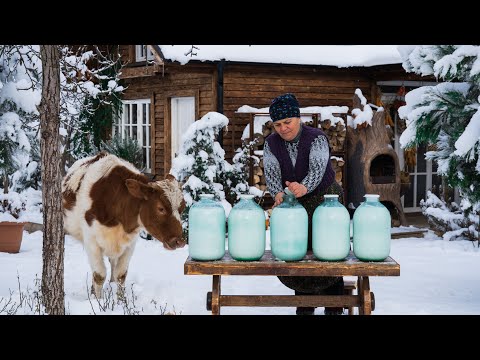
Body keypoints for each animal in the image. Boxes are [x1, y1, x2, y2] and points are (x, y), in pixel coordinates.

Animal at [62, 150, 186, 296]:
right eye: (160, 208)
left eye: (182, 207)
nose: (180, 241)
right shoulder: (91, 241)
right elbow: (99, 275)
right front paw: (97, 300)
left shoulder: (130, 243)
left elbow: (121, 275)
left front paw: (121, 300)